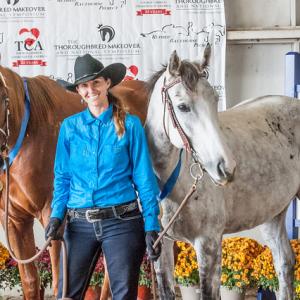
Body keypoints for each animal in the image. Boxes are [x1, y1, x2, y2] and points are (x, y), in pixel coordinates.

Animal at [145, 45, 298, 300]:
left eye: (214, 100)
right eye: (182, 106)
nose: (226, 168)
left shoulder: (208, 244)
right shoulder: (161, 245)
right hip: (273, 215)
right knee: (284, 264)